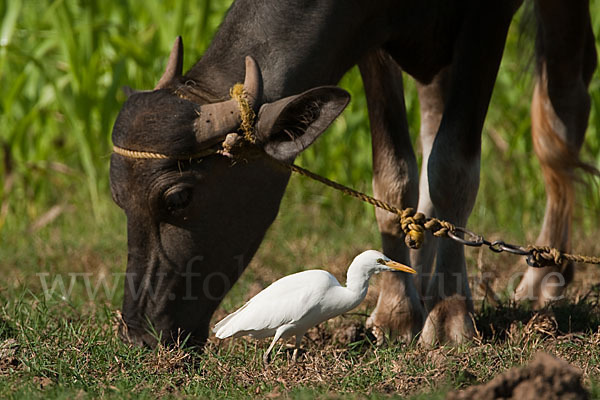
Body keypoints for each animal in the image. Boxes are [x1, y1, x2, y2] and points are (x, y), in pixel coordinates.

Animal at [111, 0, 596, 346]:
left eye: (177, 198)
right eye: (119, 199)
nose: (139, 334)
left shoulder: (487, 19)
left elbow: (453, 166)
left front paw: (450, 315)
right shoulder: (372, 40)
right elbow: (394, 173)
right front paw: (398, 311)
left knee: (566, 100)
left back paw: (543, 275)